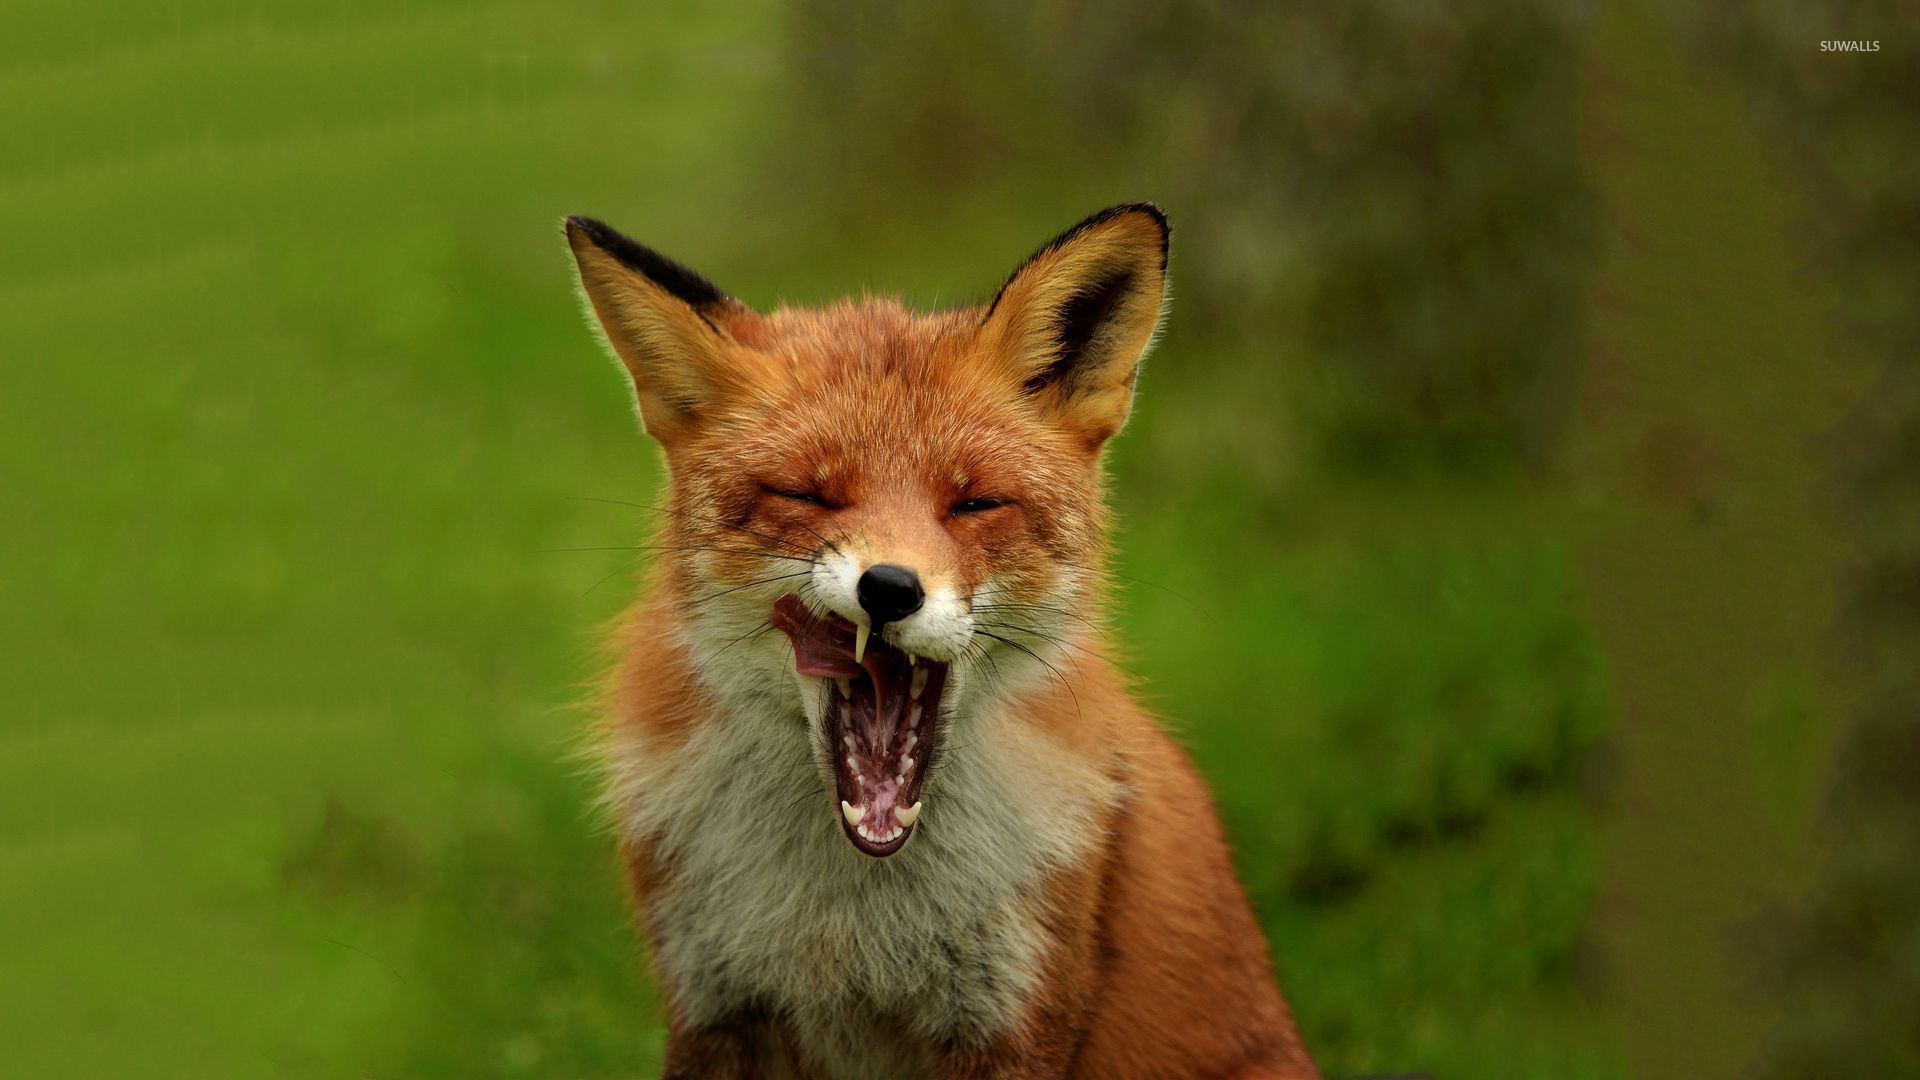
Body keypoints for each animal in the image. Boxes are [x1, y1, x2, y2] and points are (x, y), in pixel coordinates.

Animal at [564, 203, 1320, 1079]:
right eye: (807, 495)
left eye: (974, 504)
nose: (890, 588)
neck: (852, 916)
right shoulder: (714, 1006)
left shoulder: (1013, 1019)